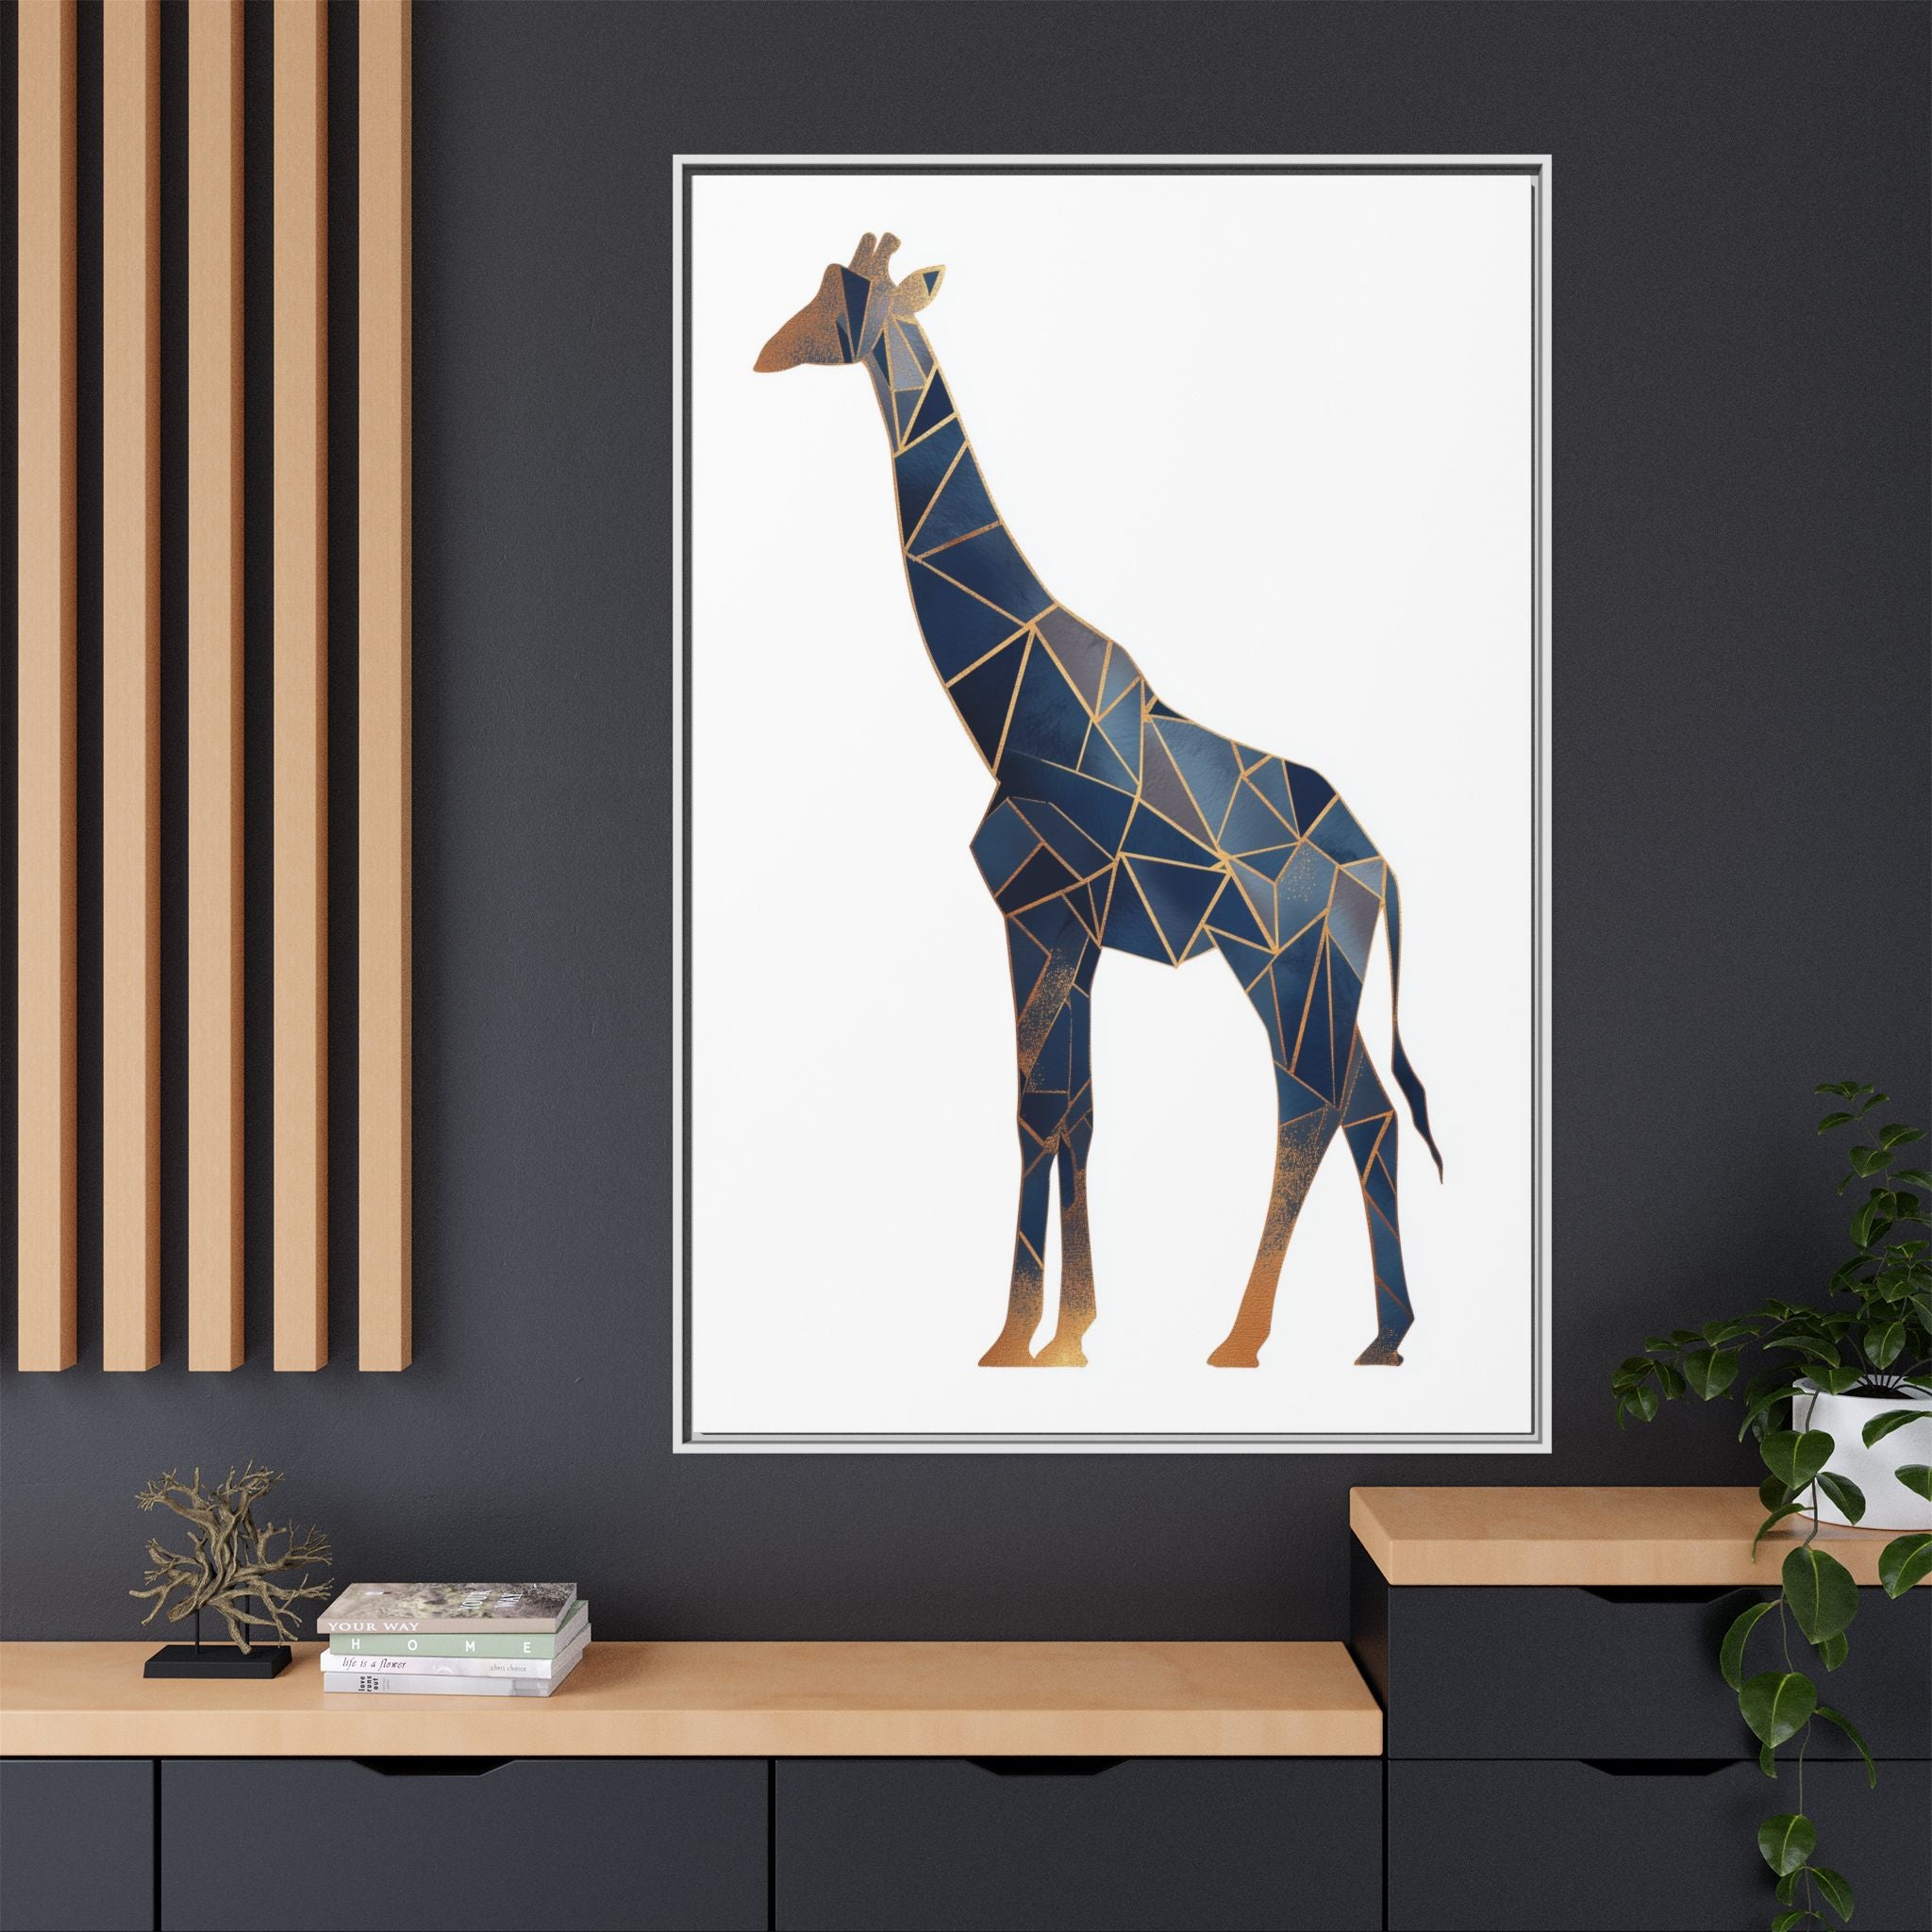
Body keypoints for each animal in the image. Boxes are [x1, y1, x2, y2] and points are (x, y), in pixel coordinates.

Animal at [754, 232, 1444, 1371]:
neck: (1008, 706)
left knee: (1310, 1106)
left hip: (1282, 962)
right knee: (1367, 1112)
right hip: (1317, 971)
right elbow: (1067, 1111)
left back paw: (1243, 1338)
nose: (768, 351)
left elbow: (1041, 1111)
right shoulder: (1065, 931)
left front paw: (1031, 1336)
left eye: (843, 301)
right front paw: (1053, 1332)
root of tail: (1378, 868)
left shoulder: (1040, 914)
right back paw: (1382, 1336)